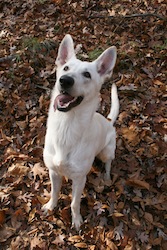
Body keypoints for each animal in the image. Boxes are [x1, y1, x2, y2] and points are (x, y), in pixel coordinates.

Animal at [42, 34, 119, 229]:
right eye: (66, 68)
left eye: (87, 74)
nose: (65, 80)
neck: (66, 127)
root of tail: (109, 121)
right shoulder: (53, 172)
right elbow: (54, 192)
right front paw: (51, 206)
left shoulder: (79, 179)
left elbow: (74, 202)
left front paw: (76, 219)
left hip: (107, 151)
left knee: (108, 162)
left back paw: (106, 176)